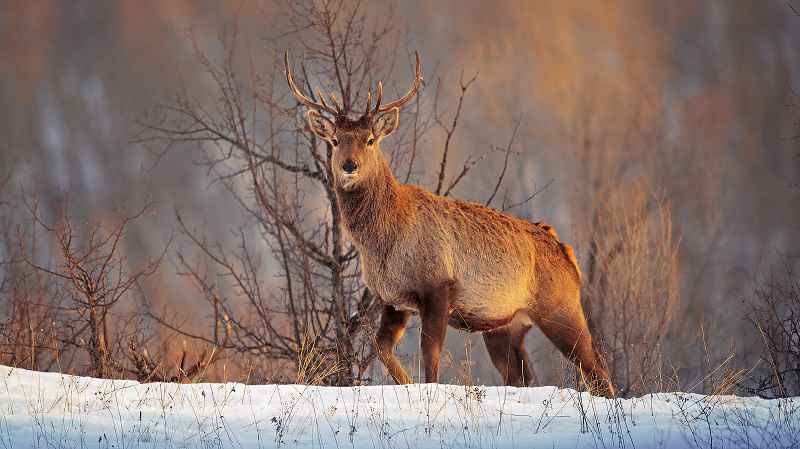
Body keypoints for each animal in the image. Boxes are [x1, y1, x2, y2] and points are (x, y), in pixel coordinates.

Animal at [284, 51, 616, 396]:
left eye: (371, 139)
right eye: (335, 140)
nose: (350, 165)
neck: (383, 241)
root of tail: (568, 255)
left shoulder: (437, 285)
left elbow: (430, 355)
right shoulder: (392, 299)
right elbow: (382, 347)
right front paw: (406, 385)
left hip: (560, 306)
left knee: (597, 371)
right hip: (506, 326)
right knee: (524, 377)